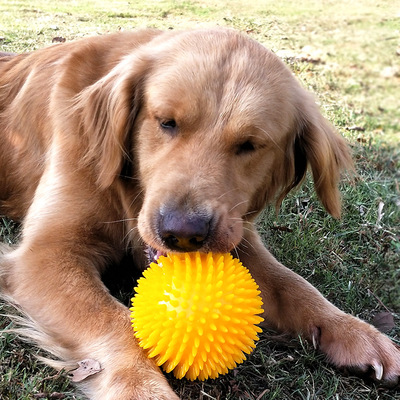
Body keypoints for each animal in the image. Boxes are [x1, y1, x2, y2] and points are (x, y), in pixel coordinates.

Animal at [0, 28, 398, 400]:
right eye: (166, 122)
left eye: (250, 145)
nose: (182, 233)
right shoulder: (47, 254)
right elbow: (112, 319)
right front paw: (142, 386)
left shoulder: (236, 234)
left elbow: (292, 284)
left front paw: (353, 330)